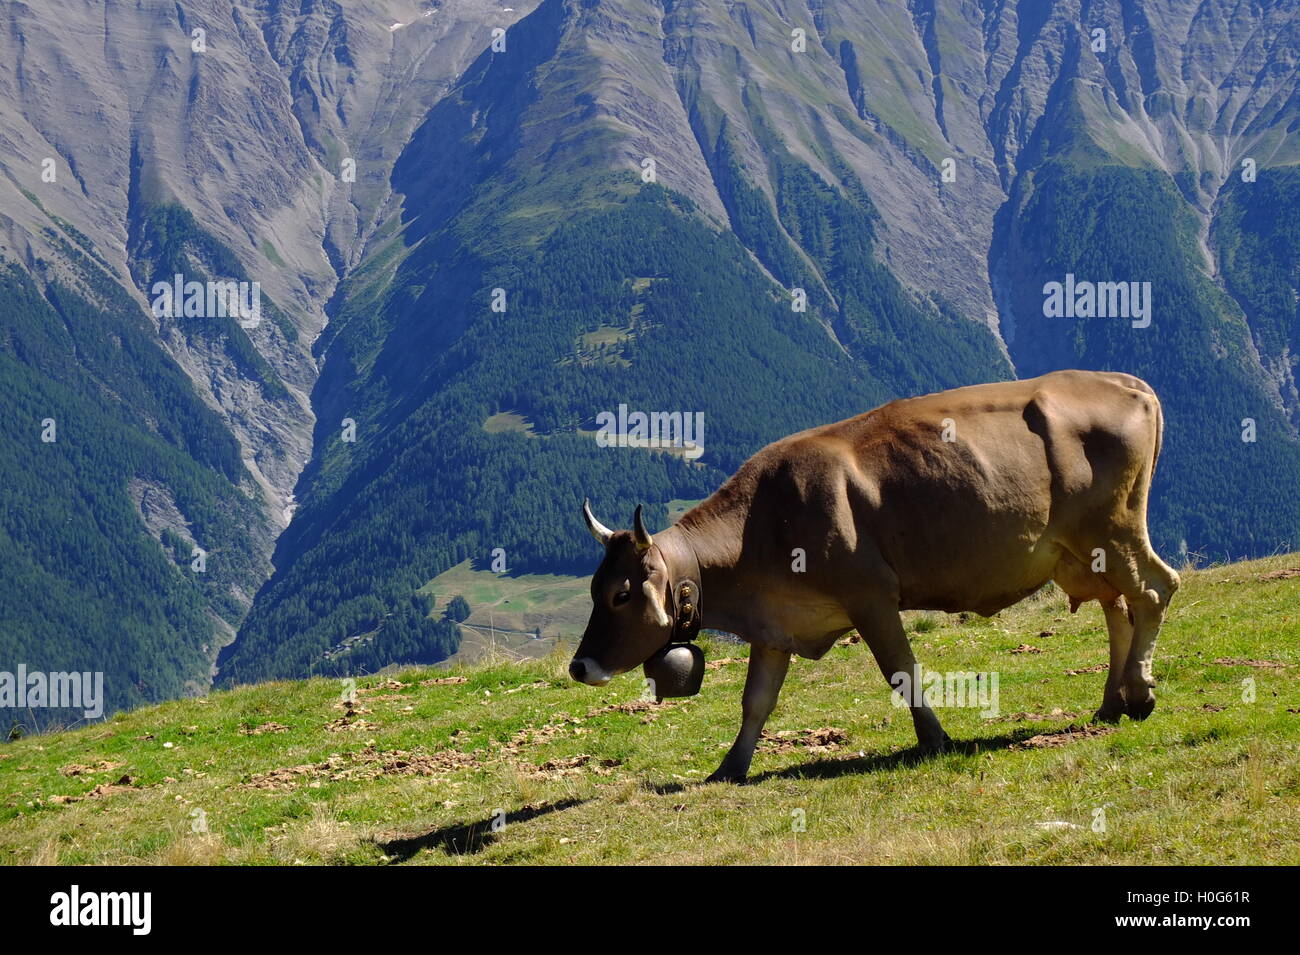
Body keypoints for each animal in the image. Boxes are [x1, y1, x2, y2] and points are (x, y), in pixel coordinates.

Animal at [569, 369, 1180, 779]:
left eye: (621, 594)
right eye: (594, 589)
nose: (579, 666)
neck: (762, 523)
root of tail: (1124, 381)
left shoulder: (871, 597)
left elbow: (901, 671)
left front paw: (935, 739)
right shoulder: (776, 625)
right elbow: (756, 701)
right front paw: (730, 768)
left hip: (1114, 530)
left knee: (1154, 590)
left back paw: (1139, 693)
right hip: (1082, 554)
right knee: (1118, 608)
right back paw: (1111, 703)